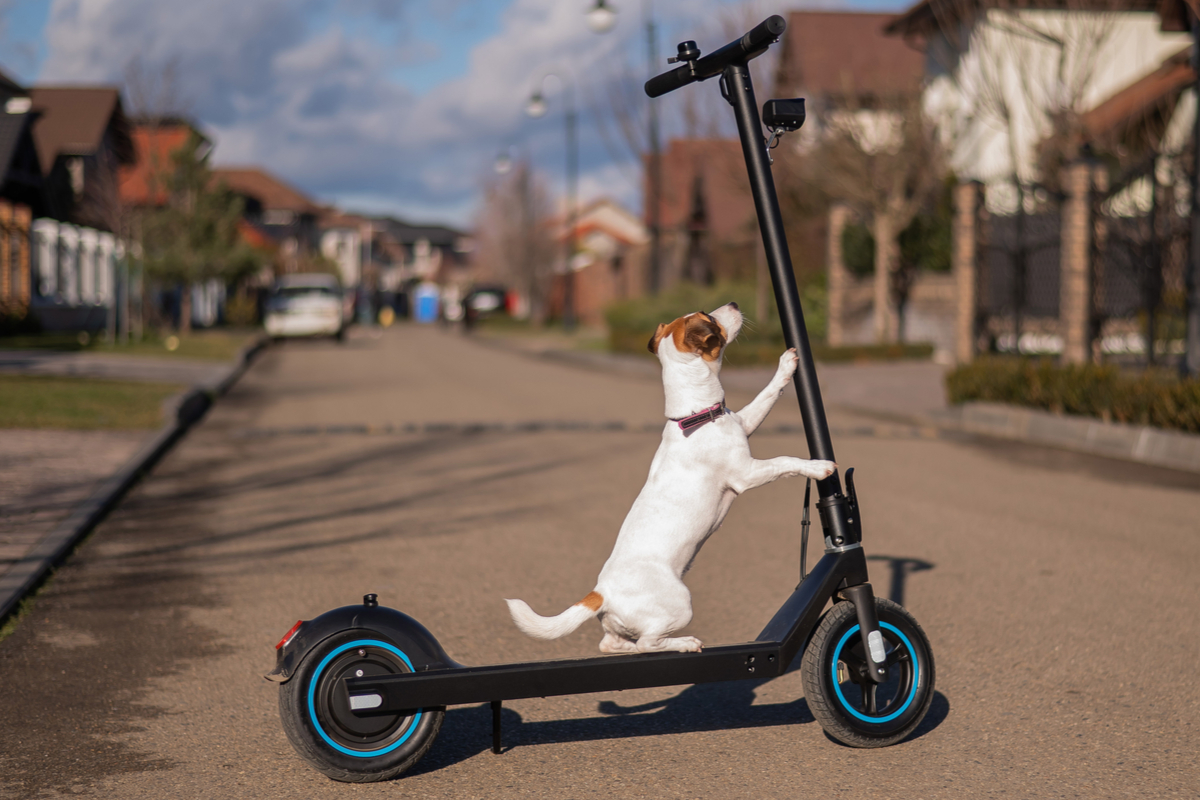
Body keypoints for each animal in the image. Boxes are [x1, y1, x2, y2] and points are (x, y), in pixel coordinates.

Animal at [504, 303, 835, 652]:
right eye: (709, 318)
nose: (733, 304)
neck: (694, 415)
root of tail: (601, 593)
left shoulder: (745, 423)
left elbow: (766, 394)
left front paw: (787, 365)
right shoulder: (746, 473)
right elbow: (786, 461)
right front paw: (819, 467)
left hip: (620, 627)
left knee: (612, 644)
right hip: (680, 604)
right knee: (648, 643)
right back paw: (685, 643)